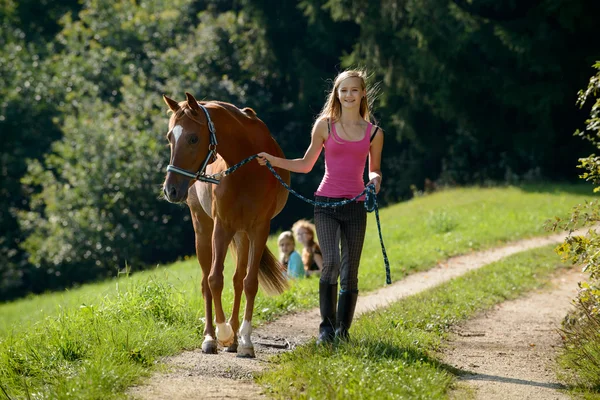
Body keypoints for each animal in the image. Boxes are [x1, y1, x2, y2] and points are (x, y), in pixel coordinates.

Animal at [162, 93, 288, 356]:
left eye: (193, 137)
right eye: (170, 138)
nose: (170, 189)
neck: (247, 169)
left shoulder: (259, 229)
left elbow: (249, 283)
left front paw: (245, 340)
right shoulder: (221, 227)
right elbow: (213, 280)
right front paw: (223, 333)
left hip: (242, 235)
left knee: (238, 280)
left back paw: (234, 335)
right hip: (204, 230)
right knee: (205, 282)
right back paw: (211, 337)